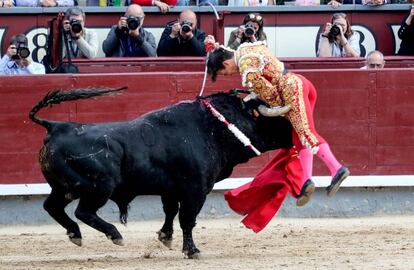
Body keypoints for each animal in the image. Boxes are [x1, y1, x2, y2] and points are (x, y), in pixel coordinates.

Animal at [28, 87, 292, 258]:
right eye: (276, 119)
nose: (294, 137)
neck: (213, 128)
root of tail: (56, 127)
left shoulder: (171, 190)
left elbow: (170, 212)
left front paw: (166, 237)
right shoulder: (195, 190)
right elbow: (187, 219)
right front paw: (192, 251)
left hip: (64, 188)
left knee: (52, 207)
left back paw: (75, 234)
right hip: (99, 187)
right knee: (83, 211)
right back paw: (114, 235)